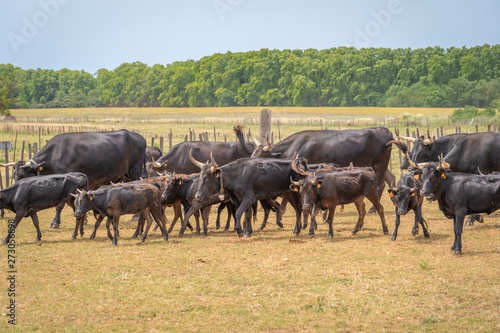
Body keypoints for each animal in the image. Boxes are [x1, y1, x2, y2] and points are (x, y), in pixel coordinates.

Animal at [0, 129, 146, 228]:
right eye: (14, 176)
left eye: (23, 176)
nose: (17, 191)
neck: (55, 153)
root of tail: (138, 136)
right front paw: (84, 218)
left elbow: (60, 205)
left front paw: (55, 222)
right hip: (125, 175)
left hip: (135, 170)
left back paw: (136, 216)